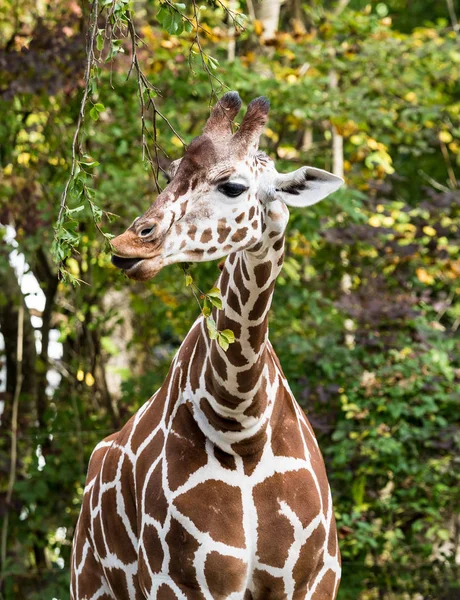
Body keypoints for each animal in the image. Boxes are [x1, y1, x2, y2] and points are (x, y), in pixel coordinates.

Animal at [71, 91, 344, 596]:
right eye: (171, 174)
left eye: (233, 186)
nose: (127, 243)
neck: (241, 424)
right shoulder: (181, 582)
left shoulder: (311, 582)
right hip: (90, 581)